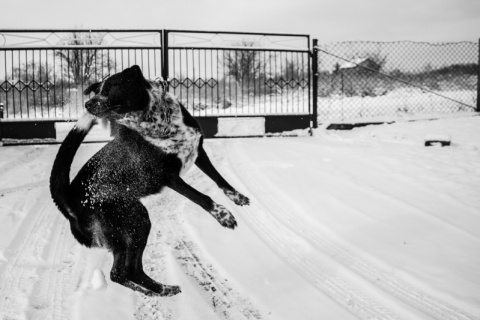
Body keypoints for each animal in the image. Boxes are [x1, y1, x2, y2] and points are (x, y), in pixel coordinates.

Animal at [50, 65, 249, 298]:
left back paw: (158, 291)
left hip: (128, 229)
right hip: (135, 221)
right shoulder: (168, 177)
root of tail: (68, 200)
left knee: (124, 272)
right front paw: (222, 214)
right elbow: (201, 197)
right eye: (96, 90)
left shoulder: (198, 151)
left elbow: (219, 179)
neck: (157, 120)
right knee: (126, 271)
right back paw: (162, 290)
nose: (87, 104)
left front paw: (237, 197)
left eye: (108, 88)